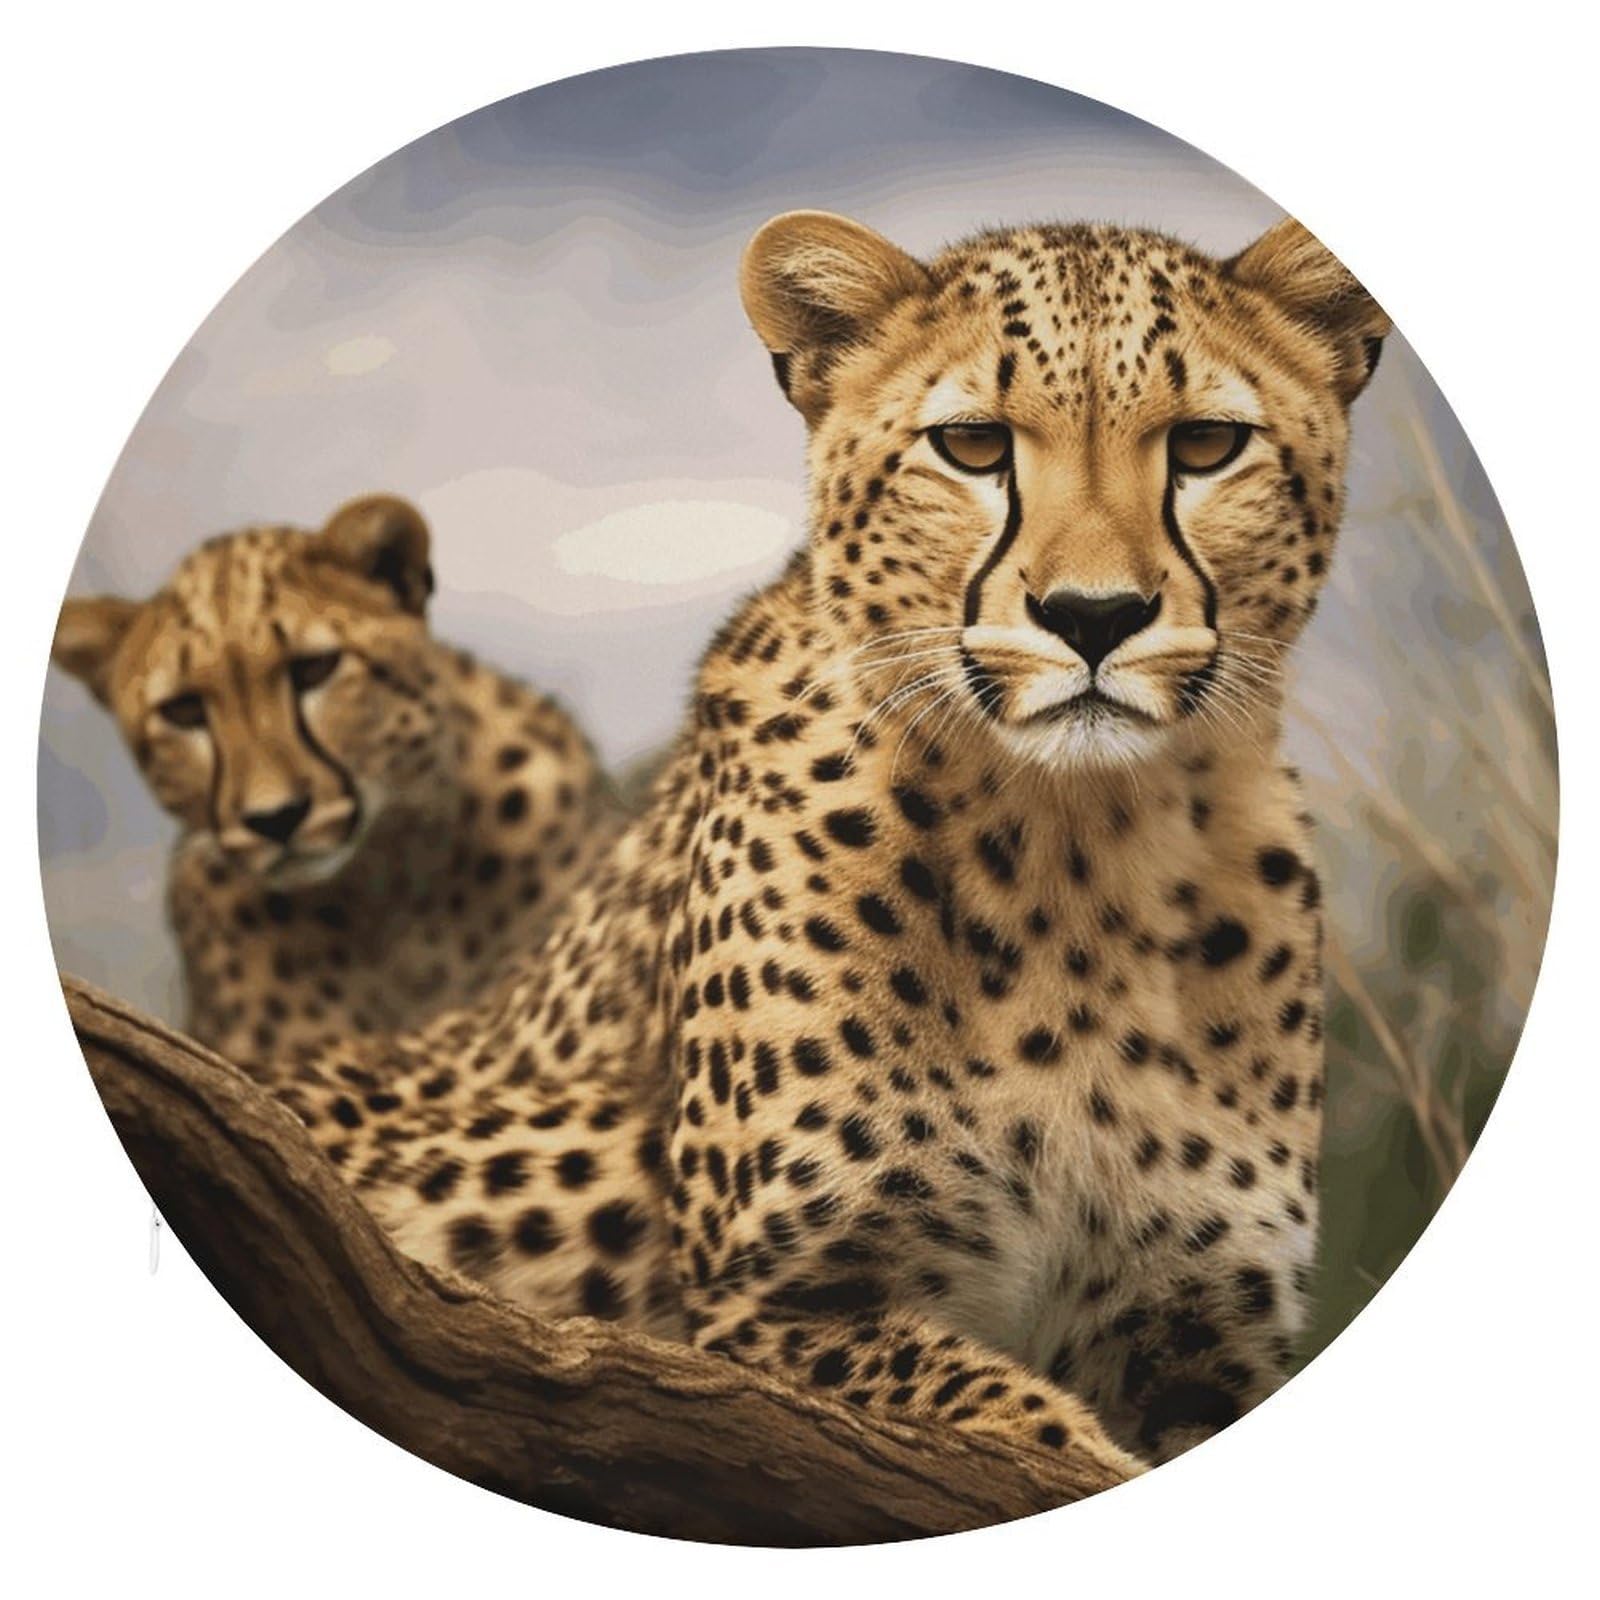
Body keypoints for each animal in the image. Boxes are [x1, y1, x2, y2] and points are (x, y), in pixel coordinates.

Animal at [244, 210, 1388, 1486]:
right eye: (973, 445)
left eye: (1203, 444)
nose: (1092, 618)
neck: (1083, 852)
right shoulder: (757, 1317)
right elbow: (1023, 1424)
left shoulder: (1197, 1339)